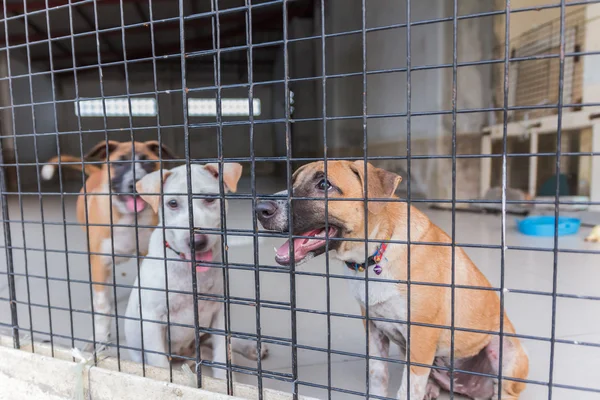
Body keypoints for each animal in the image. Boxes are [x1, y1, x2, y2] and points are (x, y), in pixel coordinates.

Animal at [42, 140, 176, 344]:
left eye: (148, 162)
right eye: (119, 163)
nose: (134, 183)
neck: (129, 218)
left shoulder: (145, 256)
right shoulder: (100, 261)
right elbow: (102, 306)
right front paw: (101, 337)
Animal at [125, 162, 268, 378]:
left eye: (209, 198)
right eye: (172, 203)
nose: (197, 242)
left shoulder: (219, 313)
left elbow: (222, 355)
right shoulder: (151, 320)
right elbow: (159, 363)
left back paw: (252, 347)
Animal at [255, 161, 528, 398]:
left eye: (324, 184)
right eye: (291, 181)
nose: (260, 209)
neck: (374, 255)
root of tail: (466, 387)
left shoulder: (421, 338)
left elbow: (408, 389)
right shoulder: (374, 329)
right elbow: (378, 375)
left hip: (507, 354)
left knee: (504, 391)